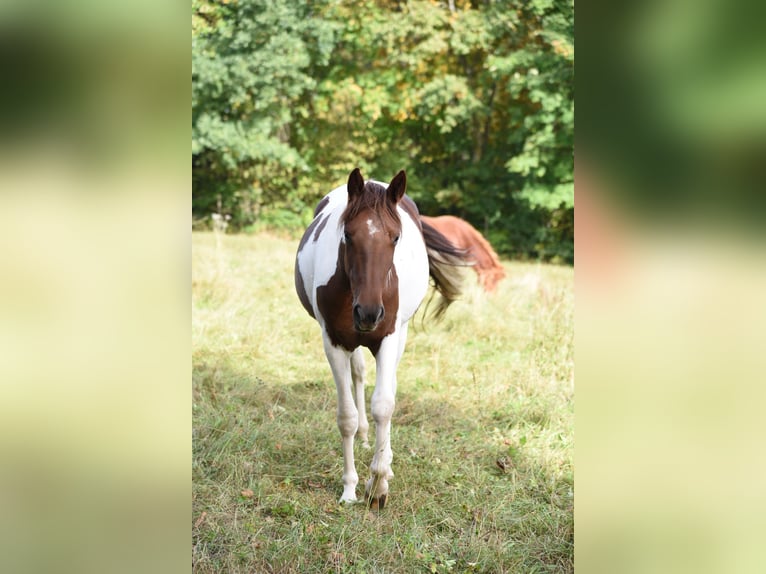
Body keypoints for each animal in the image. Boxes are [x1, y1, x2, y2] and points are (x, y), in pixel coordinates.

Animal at [294, 168, 467, 508]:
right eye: (348, 235)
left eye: (395, 237)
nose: (369, 313)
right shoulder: (333, 342)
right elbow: (346, 416)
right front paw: (350, 487)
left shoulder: (387, 337)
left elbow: (384, 405)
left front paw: (378, 485)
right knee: (359, 375)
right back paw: (365, 437)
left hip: (400, 334)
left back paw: (386, 459)